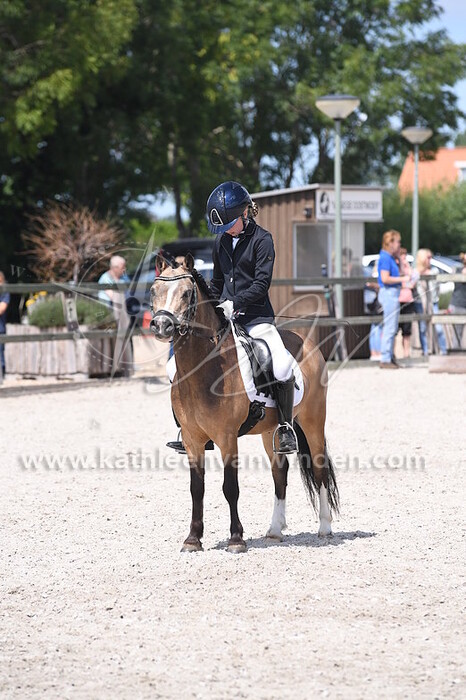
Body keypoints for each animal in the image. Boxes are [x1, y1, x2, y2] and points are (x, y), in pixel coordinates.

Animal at [150, 253, 339, 552]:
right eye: (153, 290)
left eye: (187, 293)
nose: (161, 325)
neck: (204, 368)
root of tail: (308, 344)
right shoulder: (192, 440)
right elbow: (196, 489)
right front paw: (193, 539)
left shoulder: (227, 437)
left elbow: (230, 487)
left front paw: (236, 539)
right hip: (271, 431)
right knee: (280, 473)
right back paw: (275, 531)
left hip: (312, 420)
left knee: (319, 469)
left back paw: (325, 528)